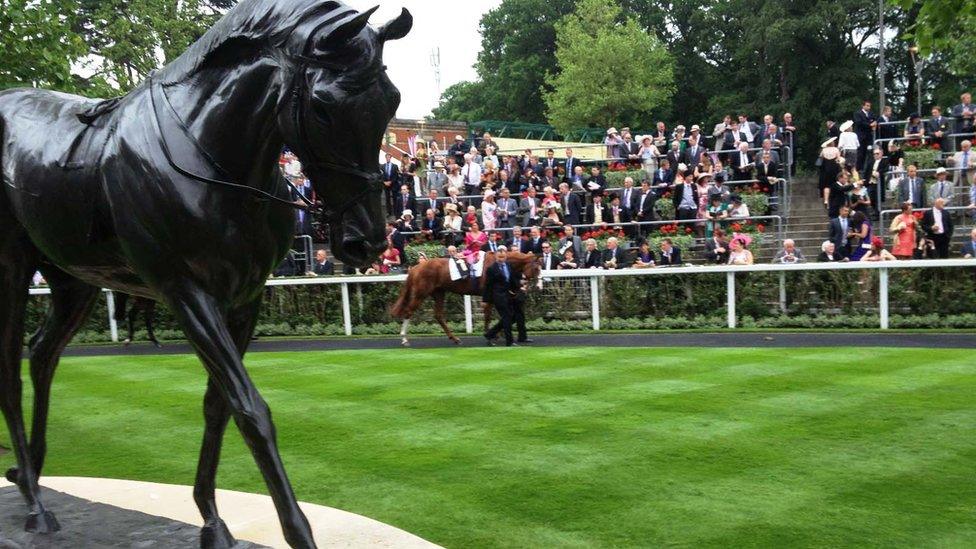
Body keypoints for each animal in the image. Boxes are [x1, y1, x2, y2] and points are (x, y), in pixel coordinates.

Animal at [390, 250, 540, 344]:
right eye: (537, 268)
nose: (539, 286)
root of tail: (416, 268)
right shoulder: (488, 295)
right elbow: (488, 315)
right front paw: (490, 335)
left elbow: (502, 314)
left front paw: (498, 333)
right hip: (421, 293)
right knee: (409, 311)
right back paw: (404, 339)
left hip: (439, 292)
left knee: (438, 315)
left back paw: (454, 338)